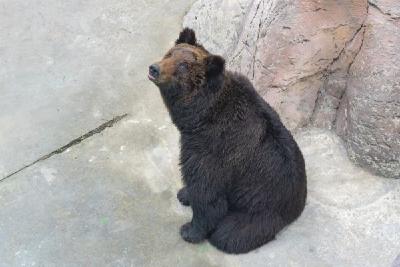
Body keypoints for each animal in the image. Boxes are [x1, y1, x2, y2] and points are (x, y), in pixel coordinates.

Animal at [148, 28, 308, 254]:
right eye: (170, 54)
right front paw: (184, 193)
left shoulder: (215, 148)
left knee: (231, 232)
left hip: (260, 206)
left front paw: (189, 230)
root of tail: (297, 205)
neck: (200, 115)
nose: (154, 68)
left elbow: (207, 192)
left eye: (183, 66)